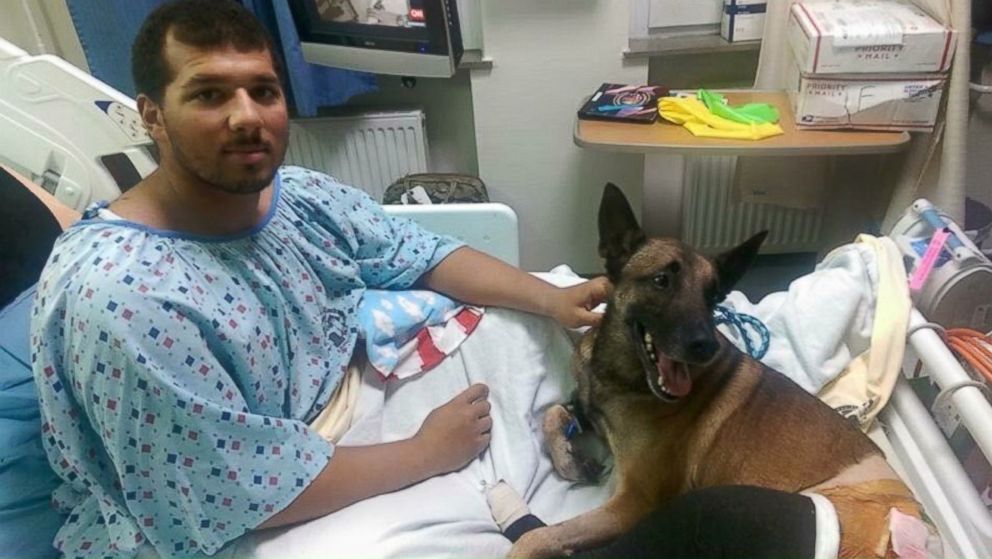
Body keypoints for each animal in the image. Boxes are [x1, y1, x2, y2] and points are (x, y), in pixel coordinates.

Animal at [512, 183, 928, 556]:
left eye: (713, 296)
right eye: (662, 280)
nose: (705, 346)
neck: (619, 374)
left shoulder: (634, 501)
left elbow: (536, 538)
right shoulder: (587, 406)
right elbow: (552, 412)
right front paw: (570, 460)